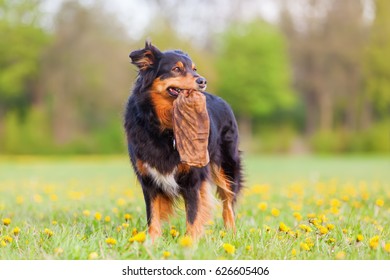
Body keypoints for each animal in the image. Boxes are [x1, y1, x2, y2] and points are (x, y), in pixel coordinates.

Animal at [123, 41, 242, 241]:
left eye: (194, 69)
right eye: (176, 69)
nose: (202, 81)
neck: (165, 127)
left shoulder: (193, 178)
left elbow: (193, 214)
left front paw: (189, 243)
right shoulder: (148, 178)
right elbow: (153, 214)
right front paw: (151, 242)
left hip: (226, 165)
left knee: (228, 201)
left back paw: (231, 233)